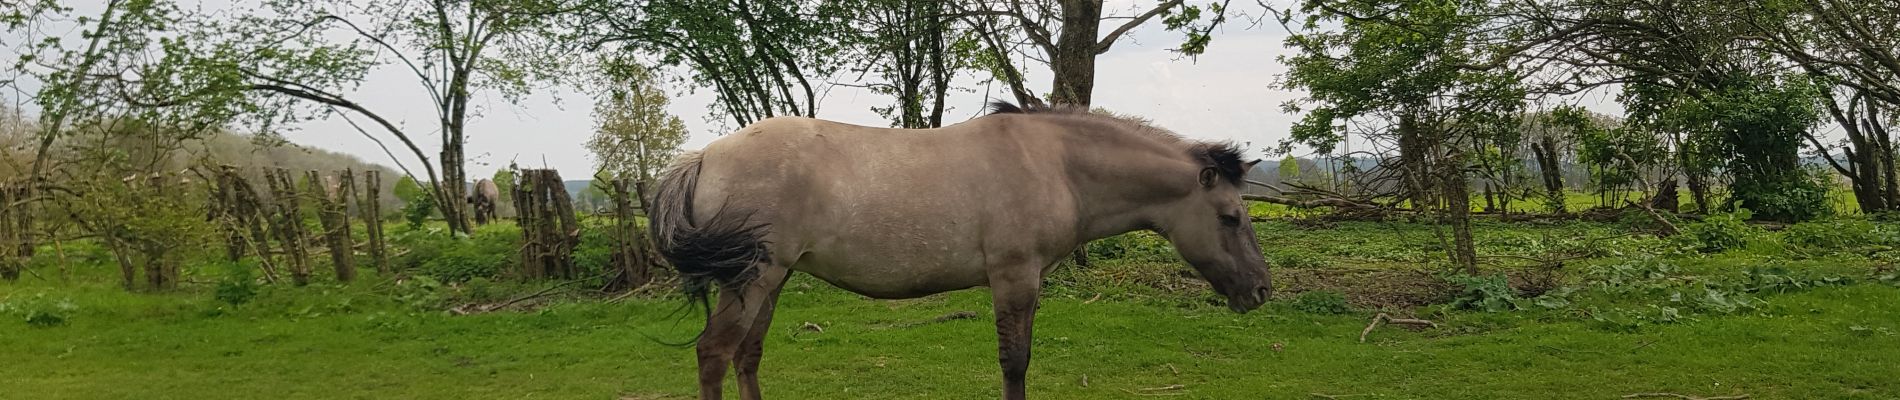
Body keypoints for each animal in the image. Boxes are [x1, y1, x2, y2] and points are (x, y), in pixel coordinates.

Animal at [646, 101, 1269, 398]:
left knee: (746, 357)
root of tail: (702, 157)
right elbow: (1014, 363)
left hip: (772, 280)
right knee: (714, 355)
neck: (1055, 164)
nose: (1261, 290)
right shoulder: (1015, 278)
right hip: (752, 280)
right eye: (1231, 217)